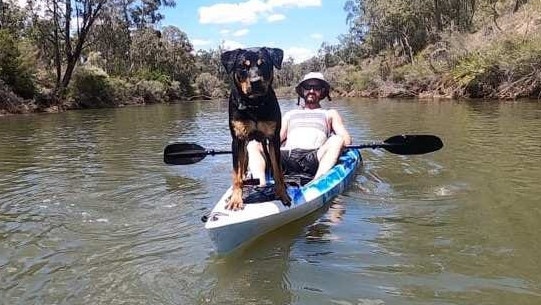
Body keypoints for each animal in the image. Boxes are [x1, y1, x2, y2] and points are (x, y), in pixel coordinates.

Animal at [220, 46, 292, 210]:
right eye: (243, 67)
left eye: (263, 64)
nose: (255, 82)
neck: (254, 105)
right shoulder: (237, 140)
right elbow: (236, 174)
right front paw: (235, 200)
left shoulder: (274, 138)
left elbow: (278, 171)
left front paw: (283, 195)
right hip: (245, 151)